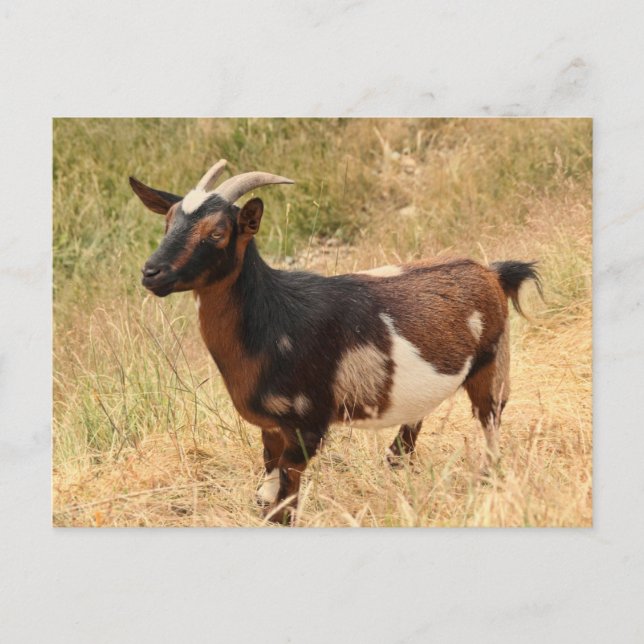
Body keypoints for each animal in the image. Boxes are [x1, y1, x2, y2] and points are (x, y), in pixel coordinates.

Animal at [130, 159, 541, 523]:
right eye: (168, 222)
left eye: (217, 232)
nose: (151, 272)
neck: (274, 319)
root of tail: (492, 272)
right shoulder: (271, 428)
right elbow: (269, 489)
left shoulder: (306, 427)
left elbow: (286, 504)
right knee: (408, 436)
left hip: (493, 365)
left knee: (490, 420)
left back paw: (488, 478)